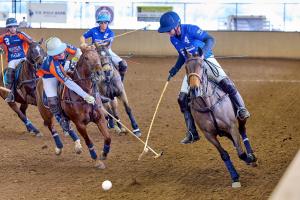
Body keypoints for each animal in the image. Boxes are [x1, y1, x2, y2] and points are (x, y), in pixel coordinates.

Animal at [184, 48, 256, 188]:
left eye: (202, 66)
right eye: (186, 67)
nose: (194, 90)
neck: (209, 105)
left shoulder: (232, 126)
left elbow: (241, 153)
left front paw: (249, 158)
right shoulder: (209, 135)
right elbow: (224, 155)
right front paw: (235, 178)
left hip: (240, 119)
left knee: (242, 131)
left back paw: (252, 156)